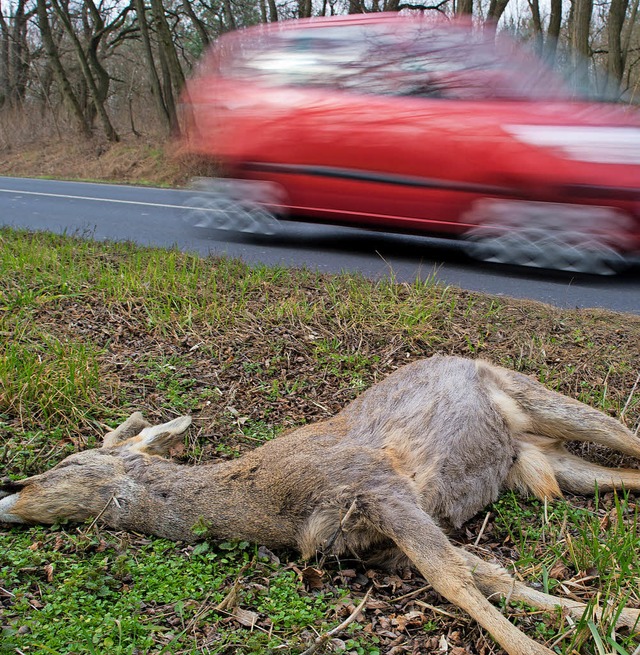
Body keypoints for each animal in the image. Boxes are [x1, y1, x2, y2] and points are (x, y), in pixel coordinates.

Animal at [1, 358, 640, 655]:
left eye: (62, 464)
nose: (12, 493)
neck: (273, 510)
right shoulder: (380, 546)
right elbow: (492, 577)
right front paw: (618, 617)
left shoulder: (378, 488)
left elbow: (453, 580)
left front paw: (536, 646)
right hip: (544, 464)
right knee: (621, 475)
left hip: (540, 399)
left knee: (625, 430)